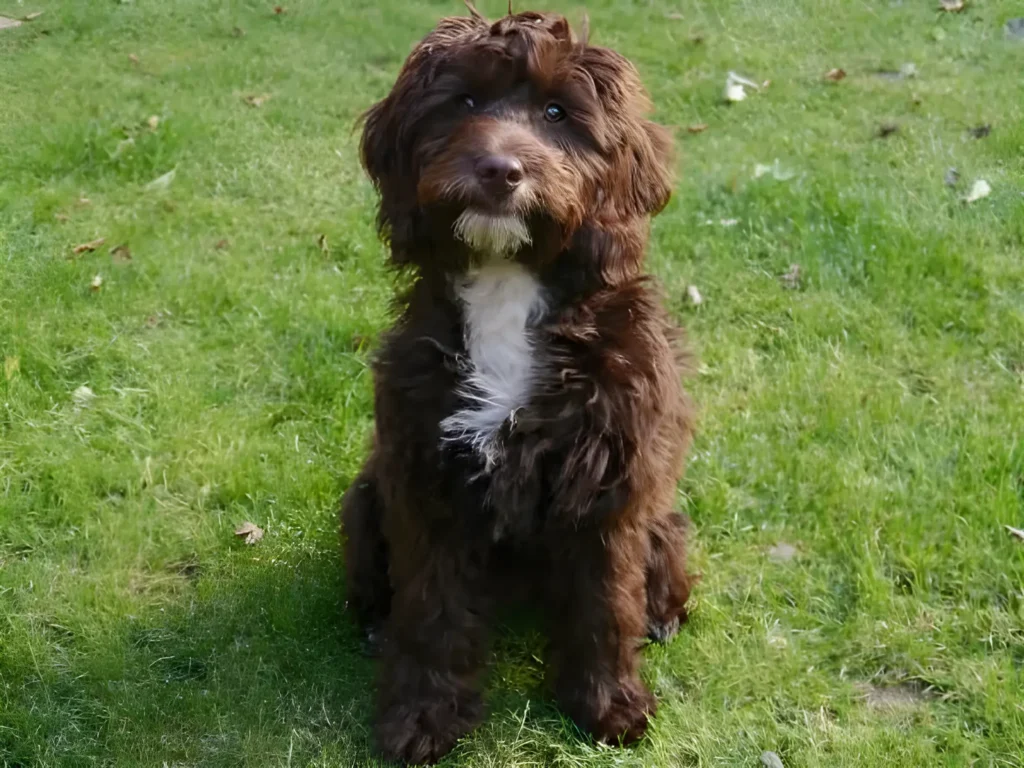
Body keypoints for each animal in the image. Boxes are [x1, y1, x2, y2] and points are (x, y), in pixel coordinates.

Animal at [342, 4, 696, 765]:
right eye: (464, 102)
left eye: (558, 112)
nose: (499, 170)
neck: (508, 282)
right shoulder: (426, 477)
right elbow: (431, 609)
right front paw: (422, 716)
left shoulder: (607, 484)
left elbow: (606, 603)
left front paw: (609, 705)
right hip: (364, 501)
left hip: (664, 519)